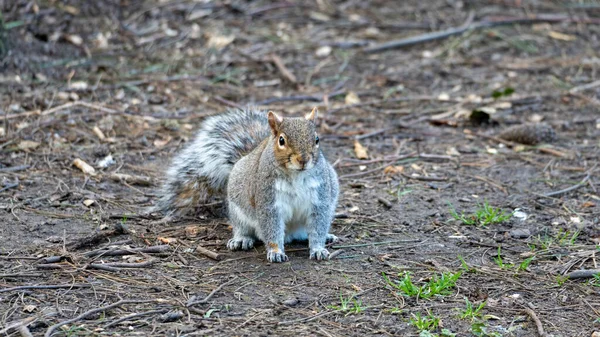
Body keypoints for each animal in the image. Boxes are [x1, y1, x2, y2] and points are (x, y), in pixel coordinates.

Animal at [152, 106, 340, 262]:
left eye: (317, 139)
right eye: (281, 140)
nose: (303, 160)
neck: (296, 175)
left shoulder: (321, 198)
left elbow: (318, 226)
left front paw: (318, 248)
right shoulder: (267, 200)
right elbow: (271, 227)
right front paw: (276, 252)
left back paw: (327, 236)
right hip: (238, 212)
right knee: (244, 229)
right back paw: (241, 240)